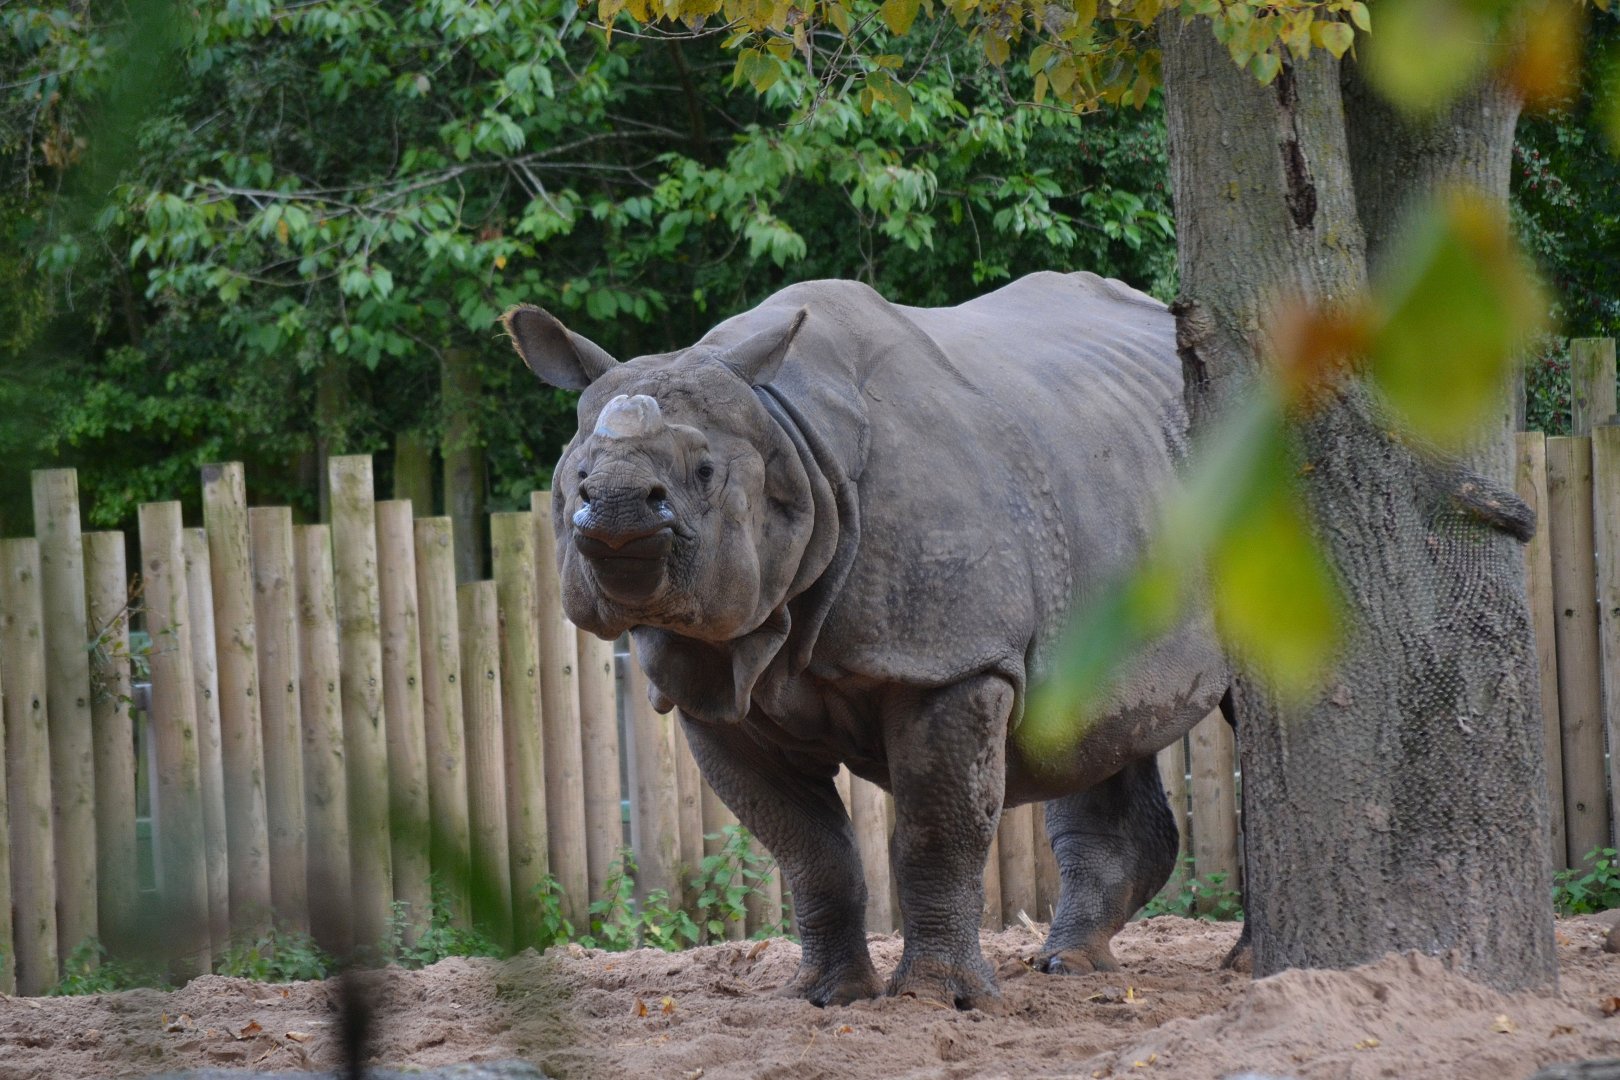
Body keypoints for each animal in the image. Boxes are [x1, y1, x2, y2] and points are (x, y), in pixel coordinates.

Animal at [503, 271, 1227, 1009]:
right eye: (576, 476)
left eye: (705, 470)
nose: (616, 506)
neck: (788, 437)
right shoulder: (714, 689)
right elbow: (809, 849)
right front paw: (826, 996)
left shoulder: (951, 661)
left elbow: (938, 832)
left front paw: (940, 999)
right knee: (1096, 724)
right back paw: (1072, 967)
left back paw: (1211, 966)